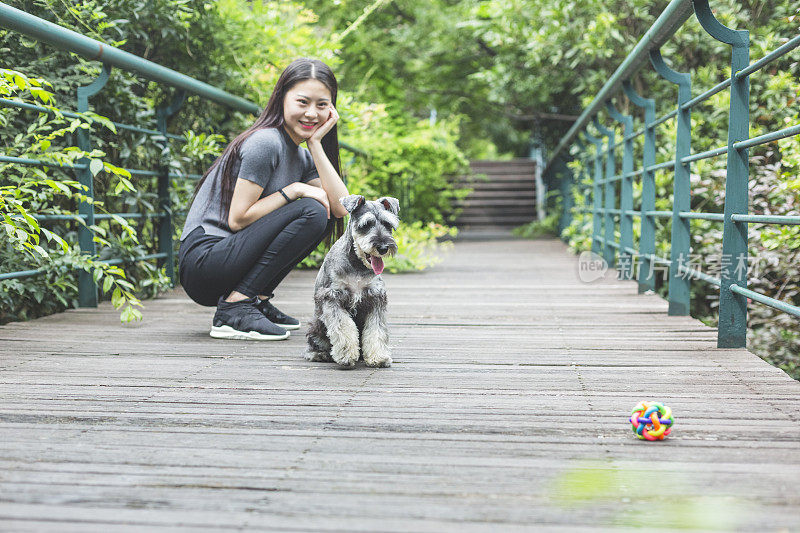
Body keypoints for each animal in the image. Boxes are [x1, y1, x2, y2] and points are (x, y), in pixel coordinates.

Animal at [304, 193, 398, 368]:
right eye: (366, 225)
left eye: (387, 224)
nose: (383, 247)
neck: (357, 265)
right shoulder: (332, 297)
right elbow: (344, 327)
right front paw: (347, 355)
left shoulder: (376, 299)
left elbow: (376, 330)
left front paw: (378, 357)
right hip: (317, 324)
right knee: (314, 341)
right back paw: (318, 353)